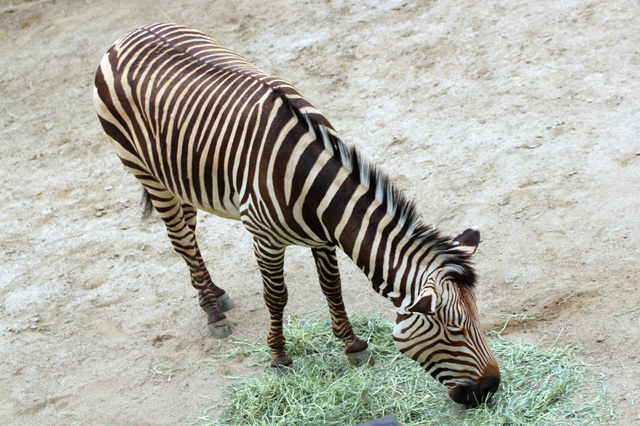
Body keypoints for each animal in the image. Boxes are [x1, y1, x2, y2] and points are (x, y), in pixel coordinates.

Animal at [92, 23, 500, 406]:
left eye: (477, 319)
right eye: (454, 330)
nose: (491, 387)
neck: (313, 184)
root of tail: (130, 34)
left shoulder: (323, 237)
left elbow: (332, 288)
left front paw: (352, 345)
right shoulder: (265, 239)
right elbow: (276, 296)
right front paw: (279, 356)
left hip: (179, 175)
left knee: (189, 236)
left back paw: (215, 293)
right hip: (145, 172)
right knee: (181, 240)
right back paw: (212, 311)